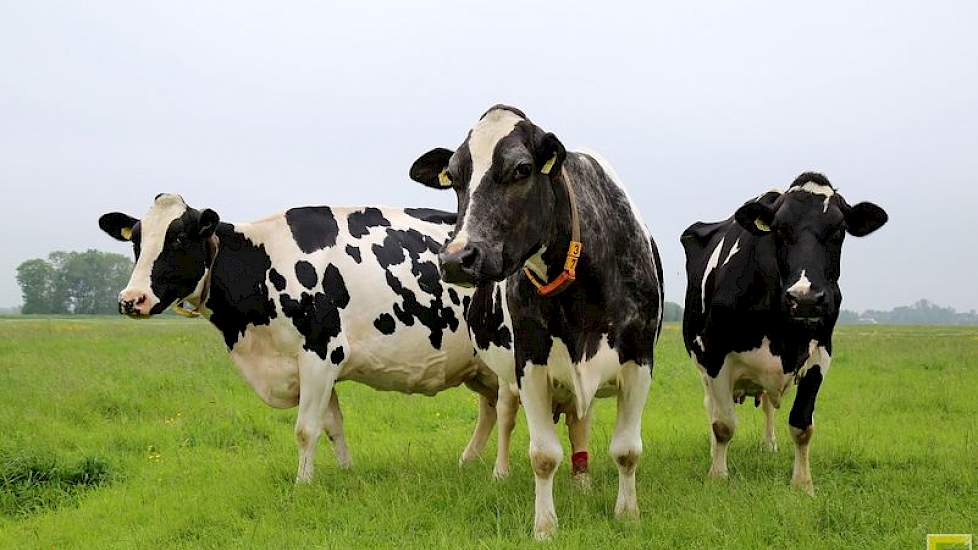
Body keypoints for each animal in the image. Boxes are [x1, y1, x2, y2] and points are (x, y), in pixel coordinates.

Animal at [99, 194, 532, 484]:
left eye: (177, 239)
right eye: (137, 242)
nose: (131, 300)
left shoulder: (320, 354)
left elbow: (305, 429)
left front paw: (302, 485)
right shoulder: (316, 366)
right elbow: (333, 425)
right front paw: (346, 472)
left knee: (506, 406)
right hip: (477, 365)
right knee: (490, 409)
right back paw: (466, 462)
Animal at [404, 104, 664, 540]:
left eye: (522, 169)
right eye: (453, 177)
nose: (457, 258)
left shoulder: (639, 359)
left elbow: (627, 450)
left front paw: (627, 514)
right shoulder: (530, 362)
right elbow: (543, 455)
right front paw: (544, 525)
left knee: (579, 422)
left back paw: (582, 479)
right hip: (507, 378)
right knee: (505, 417)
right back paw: (500, 473)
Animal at [680, 172, 884, 496]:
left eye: (839, 229)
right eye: (778, 229)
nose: (806, 299)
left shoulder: (820, 353)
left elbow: (802, 425)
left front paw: (803, 483)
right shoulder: (715, 353)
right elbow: (723, 424)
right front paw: (718, 475)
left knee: (766, 406)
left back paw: (769, 444)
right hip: (703, 365)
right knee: (712, 407)